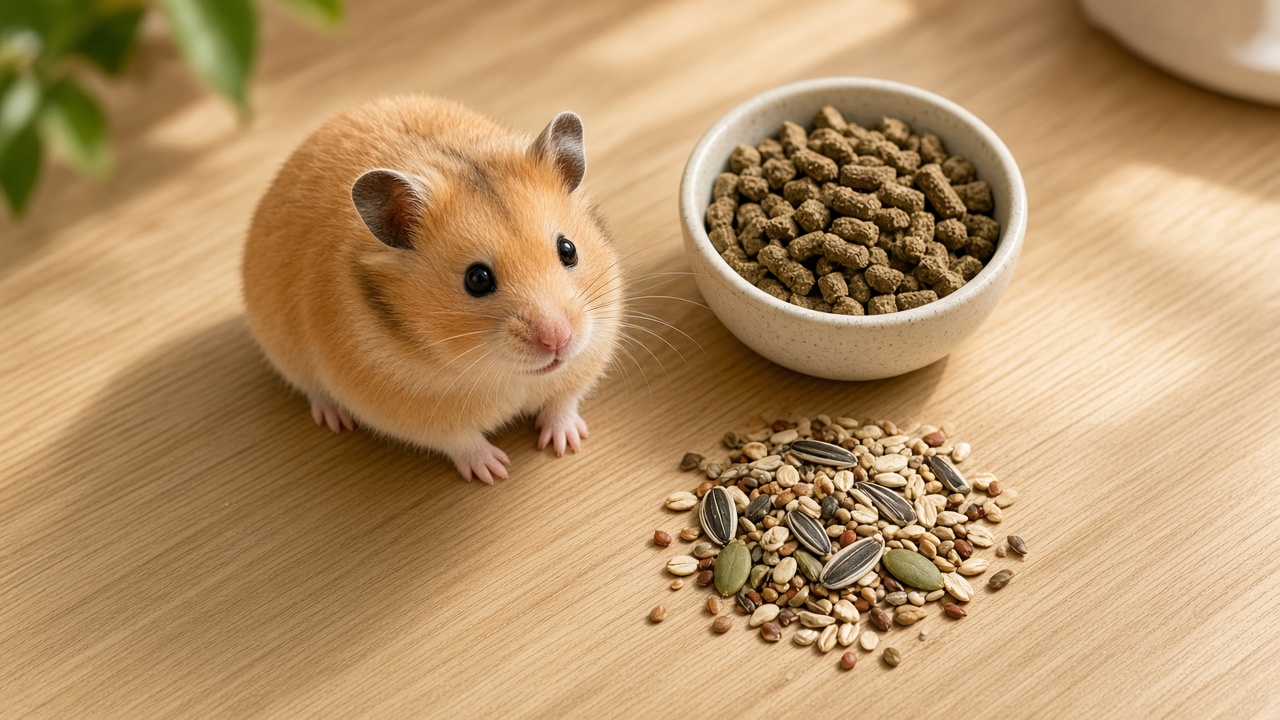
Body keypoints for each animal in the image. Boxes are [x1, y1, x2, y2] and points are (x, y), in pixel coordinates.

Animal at [242, 96, 623, 483]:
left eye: (568, 250)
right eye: (477, 279)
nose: (558, 340)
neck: (505, 375)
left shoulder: (591, 352)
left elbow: (563, 402)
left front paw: (565, 444)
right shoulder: (413, 414)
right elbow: (461, 440)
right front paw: (495, 471)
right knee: (312, 390)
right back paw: (336, 419)